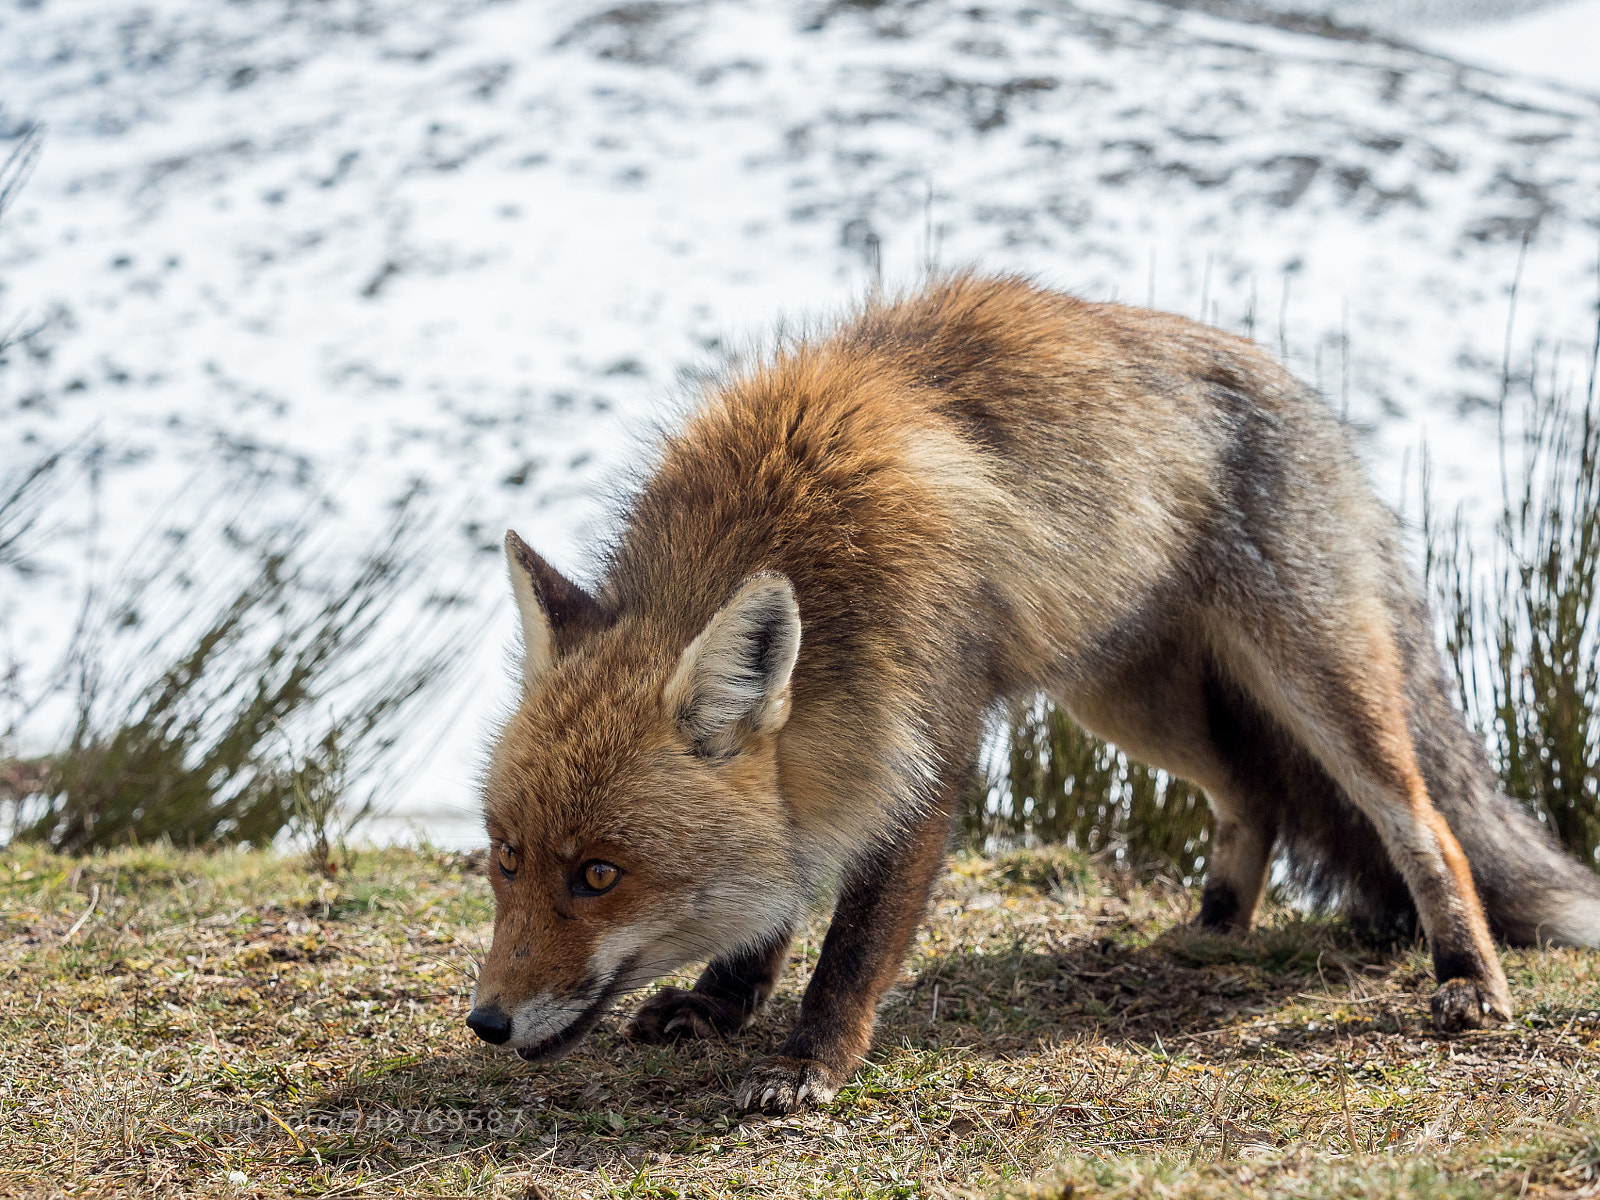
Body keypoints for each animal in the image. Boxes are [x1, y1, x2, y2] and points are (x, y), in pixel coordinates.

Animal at [466, 273, 1600, 1114]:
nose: (485, 1022)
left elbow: (854, 946)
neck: (779, 532)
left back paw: (1466, 978)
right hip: (1125, 702)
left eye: (600, 876)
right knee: (1254, 793)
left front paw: (808, 1062)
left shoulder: (924, 741)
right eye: (507, 859)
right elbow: (781, 890)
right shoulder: (836, 758)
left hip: (1316, 682)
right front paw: (720, 1004)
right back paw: (1214, 928)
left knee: (1422, 820)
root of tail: (1297, 386)